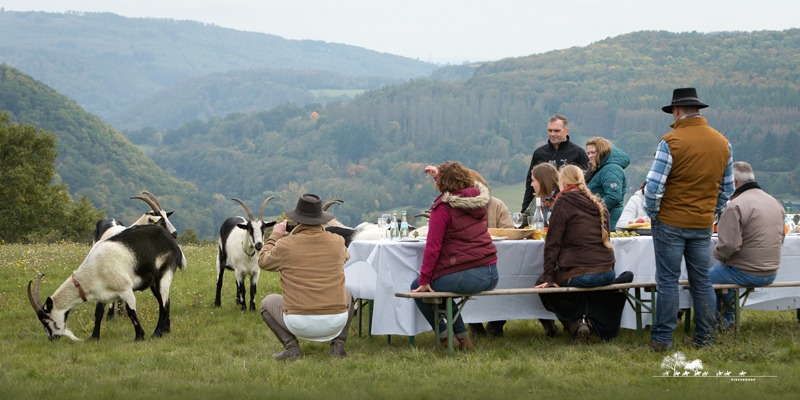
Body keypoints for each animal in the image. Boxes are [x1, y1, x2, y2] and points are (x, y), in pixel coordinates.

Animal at [27, 222, 187, 340]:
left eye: (46, 320)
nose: (52, 338)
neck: (95, 268)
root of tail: (173, 243)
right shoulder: (101, 293)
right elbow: (98, 314)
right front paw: (94, 337)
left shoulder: (125, 289)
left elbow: (131, 313)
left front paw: (139, 336)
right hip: (154, 282)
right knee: (166, 301)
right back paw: (166, 330)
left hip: (164, 273)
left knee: (163, 304)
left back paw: (156, 334)